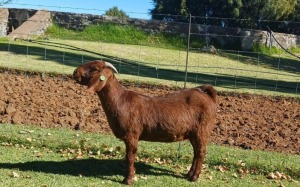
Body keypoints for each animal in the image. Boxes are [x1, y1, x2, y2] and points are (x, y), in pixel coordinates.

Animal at [73, 60, 218, 186]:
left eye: (94, 68)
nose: (75, 72)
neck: (121, 101)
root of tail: (206, 94)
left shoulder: (132, 135)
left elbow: (130, 157)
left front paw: (128, 180)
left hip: (202, 130)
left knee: (201, 152)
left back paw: (194, 177)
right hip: (193, 133)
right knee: (196, 152)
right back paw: (189, 174)